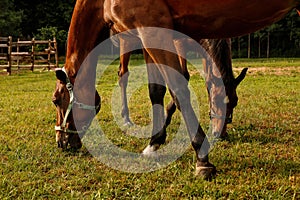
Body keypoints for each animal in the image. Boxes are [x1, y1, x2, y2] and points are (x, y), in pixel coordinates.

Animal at [52, 0, 298, 179]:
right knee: (123, 74)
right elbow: (158, 89)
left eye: (55, 100)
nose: (61, 142)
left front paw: (202, 158)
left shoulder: (156, 32)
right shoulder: (157, 36)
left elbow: (177, 89)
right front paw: (156, 140)